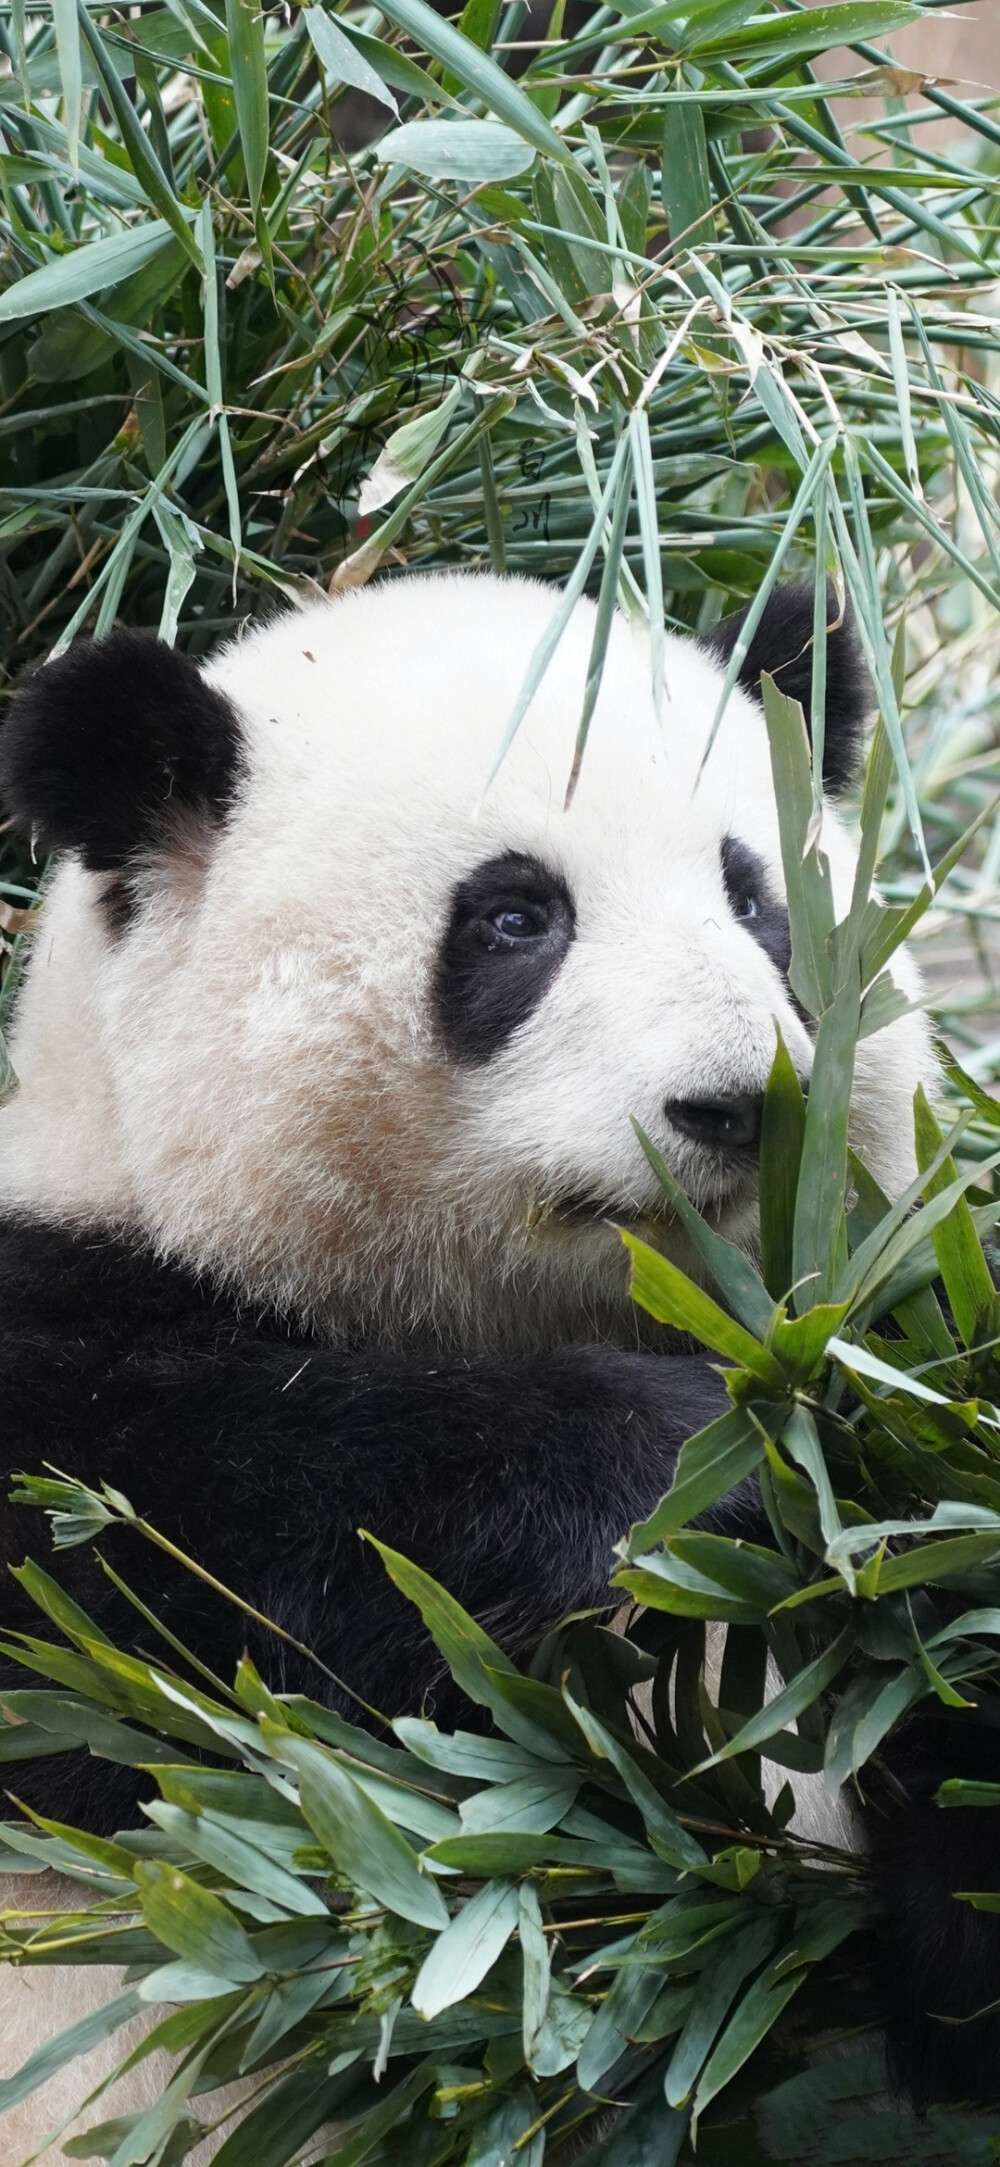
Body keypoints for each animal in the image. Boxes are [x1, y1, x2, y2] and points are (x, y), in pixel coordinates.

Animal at [0, 576, 989, 2149]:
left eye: (756, 898)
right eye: (517, 916)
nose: (739, 1100)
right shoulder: (83, 1291)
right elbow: (150, 1580)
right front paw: (684, 1460)